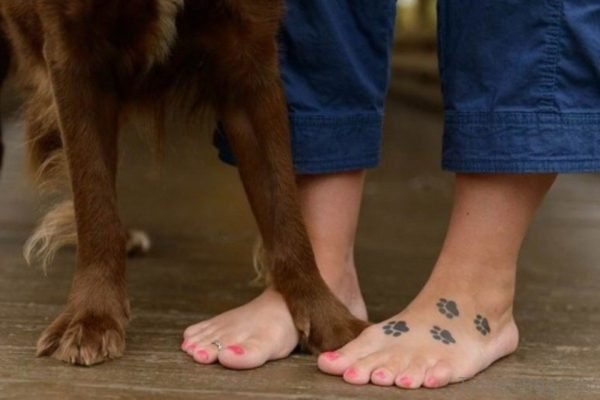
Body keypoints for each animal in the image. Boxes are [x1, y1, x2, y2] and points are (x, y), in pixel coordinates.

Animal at [0, 0, 366, 366]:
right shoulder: (75, 53)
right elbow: (94, 199)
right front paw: (91, 318)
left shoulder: (249, 57)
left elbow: (284, 210)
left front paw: (326, 315)